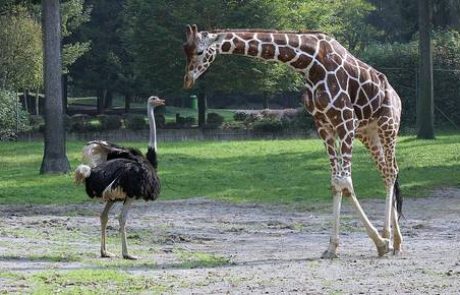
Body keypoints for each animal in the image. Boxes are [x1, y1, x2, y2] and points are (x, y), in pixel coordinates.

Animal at [183, 24, 402, 260]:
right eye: (185, 50)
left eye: (200, 51)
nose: (187, 80)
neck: (310, 64)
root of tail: (396, 95)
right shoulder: (324, 125)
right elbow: (336, 183)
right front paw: (332, 247)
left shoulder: (345, 121)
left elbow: (345, 181)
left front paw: (379, 243)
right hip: (368, 132)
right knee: (387, 171)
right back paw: (395, 241)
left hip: (388, 125)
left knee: (391, 171)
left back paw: (390, 239)